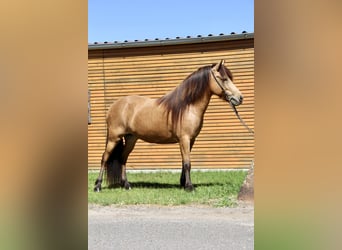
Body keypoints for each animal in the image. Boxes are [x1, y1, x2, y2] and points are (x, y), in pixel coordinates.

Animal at [93, 60, 243, 191]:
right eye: (223, 79)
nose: (240, 98)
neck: (188, 107)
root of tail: (113, 106)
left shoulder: (190, 140)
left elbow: (184, 162)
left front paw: (183, 184)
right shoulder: (184, 139)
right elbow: (187, 163)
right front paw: (189, 187)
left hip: (131, 139)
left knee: (123, 158)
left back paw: (126, 185)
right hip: (114, 138)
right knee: (104, 158)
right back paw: (98, 186)